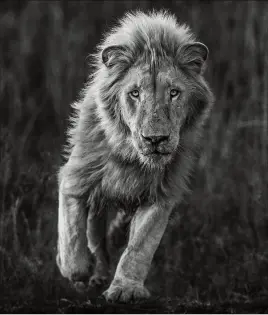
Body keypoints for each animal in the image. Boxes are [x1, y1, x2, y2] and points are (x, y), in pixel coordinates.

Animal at [56, 9, 214, 304]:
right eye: (135, 93)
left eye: (174, 93)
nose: (155, 139)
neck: (131, 158)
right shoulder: (75, 180)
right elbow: (71, 236)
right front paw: (74, 268)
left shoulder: (162, 195)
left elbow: (140, 247)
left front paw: (125, 288)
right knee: (94, 237)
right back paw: (94, 273)